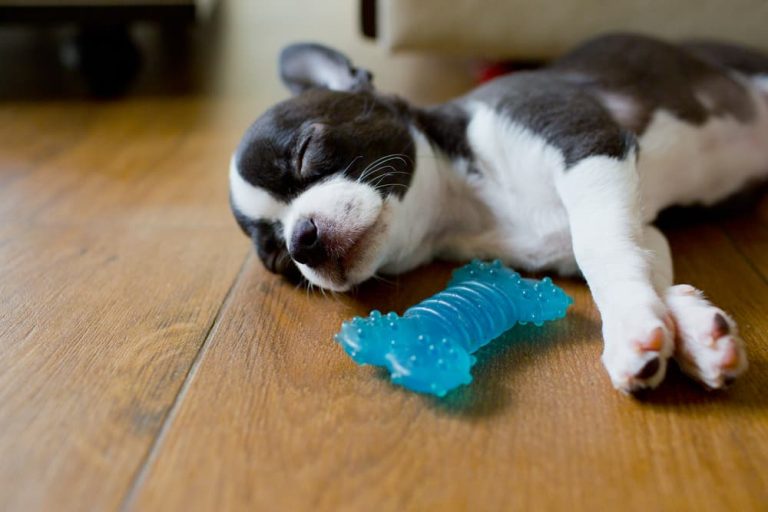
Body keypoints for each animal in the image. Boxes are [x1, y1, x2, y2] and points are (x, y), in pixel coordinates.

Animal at [230, 34, 768, 394]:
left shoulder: (588, 144)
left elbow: (601, 249)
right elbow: (640, 261)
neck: (466, 205)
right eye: (277, 258)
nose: (302, 240)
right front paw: (692, 329)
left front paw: (636, 326)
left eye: (307, 153)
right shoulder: (634, 221)